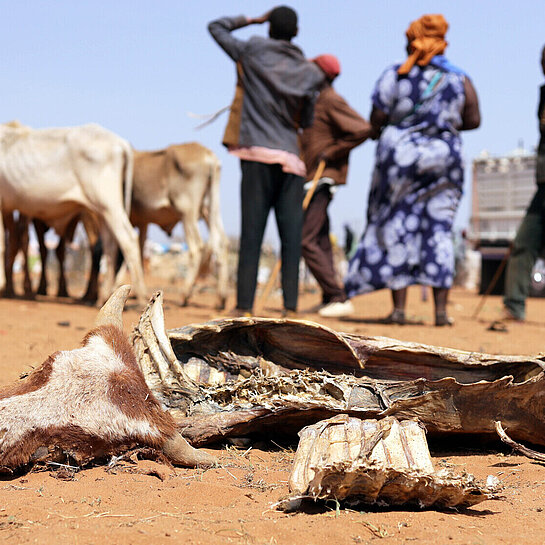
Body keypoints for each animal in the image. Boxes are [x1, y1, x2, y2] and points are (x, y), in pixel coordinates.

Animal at [0, 120, 147, 304]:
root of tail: (121, 143)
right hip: (102, 211)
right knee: (110, 244)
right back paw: (104, 296)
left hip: (108, 203)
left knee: (128, 239)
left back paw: (141, 296)